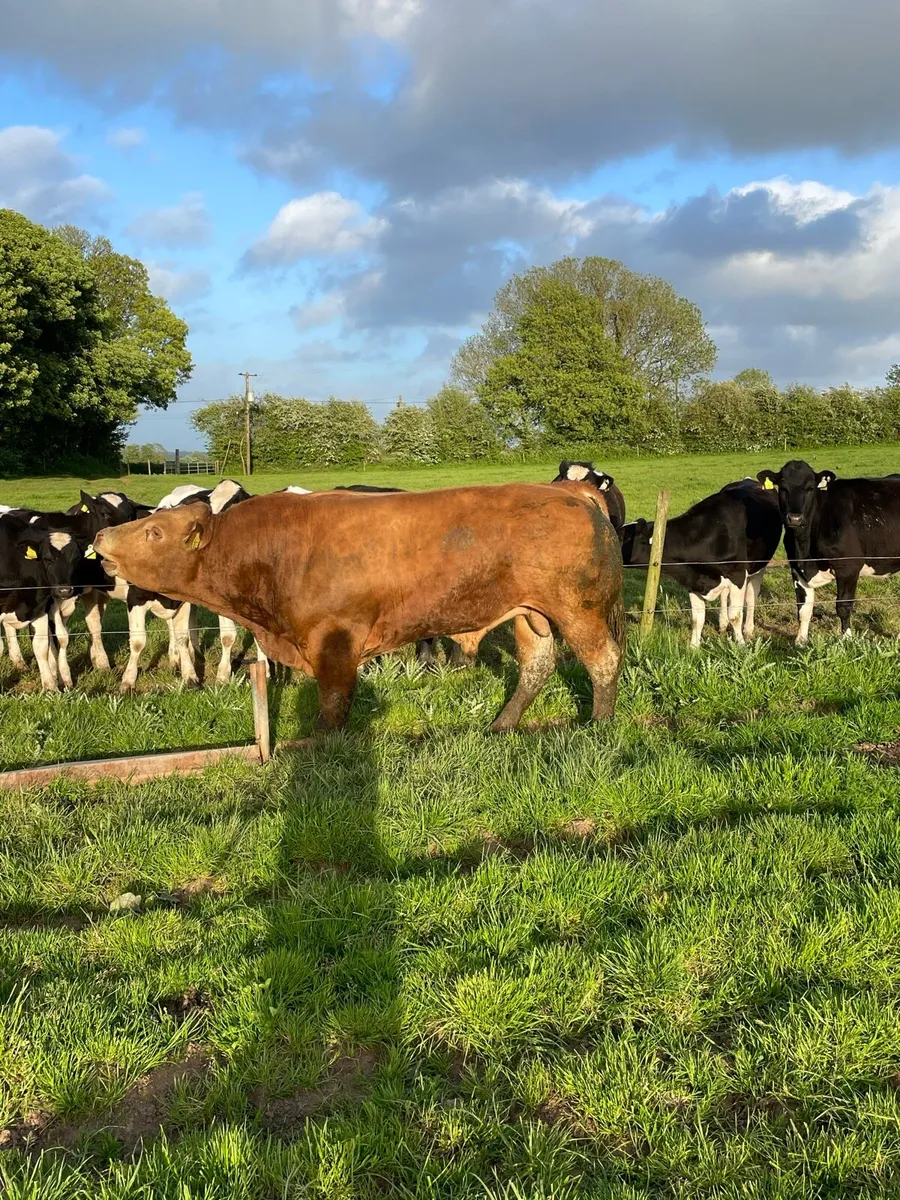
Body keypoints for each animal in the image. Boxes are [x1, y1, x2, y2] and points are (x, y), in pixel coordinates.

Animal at [93, 484, 625, 732]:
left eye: (154, 532)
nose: (100, 537)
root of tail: (568, 491)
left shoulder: (335, 641)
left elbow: (333, 702)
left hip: (578, 610)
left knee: (603, 660)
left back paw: (599, 725)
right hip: (530, 615)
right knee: (538, 665)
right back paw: (501, 725)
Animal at [620, 479, 782, 646]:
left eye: (623, 537)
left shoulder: (737, 575)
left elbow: (736, 615)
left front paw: (741, 645)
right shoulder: (693, 580)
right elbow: (697, 619)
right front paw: (694, 647)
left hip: (758, 567)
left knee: (751, 598)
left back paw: (748, 631)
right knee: (724, 596)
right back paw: (722, 624)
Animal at [757, 460, 900, 644]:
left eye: (810, 488)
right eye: (782, 488)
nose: (795, 518)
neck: (804, 547)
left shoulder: (848, 567)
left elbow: (843, 605)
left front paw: (847, 639)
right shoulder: (796, 568)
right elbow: (803, 608)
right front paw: (800, 641)